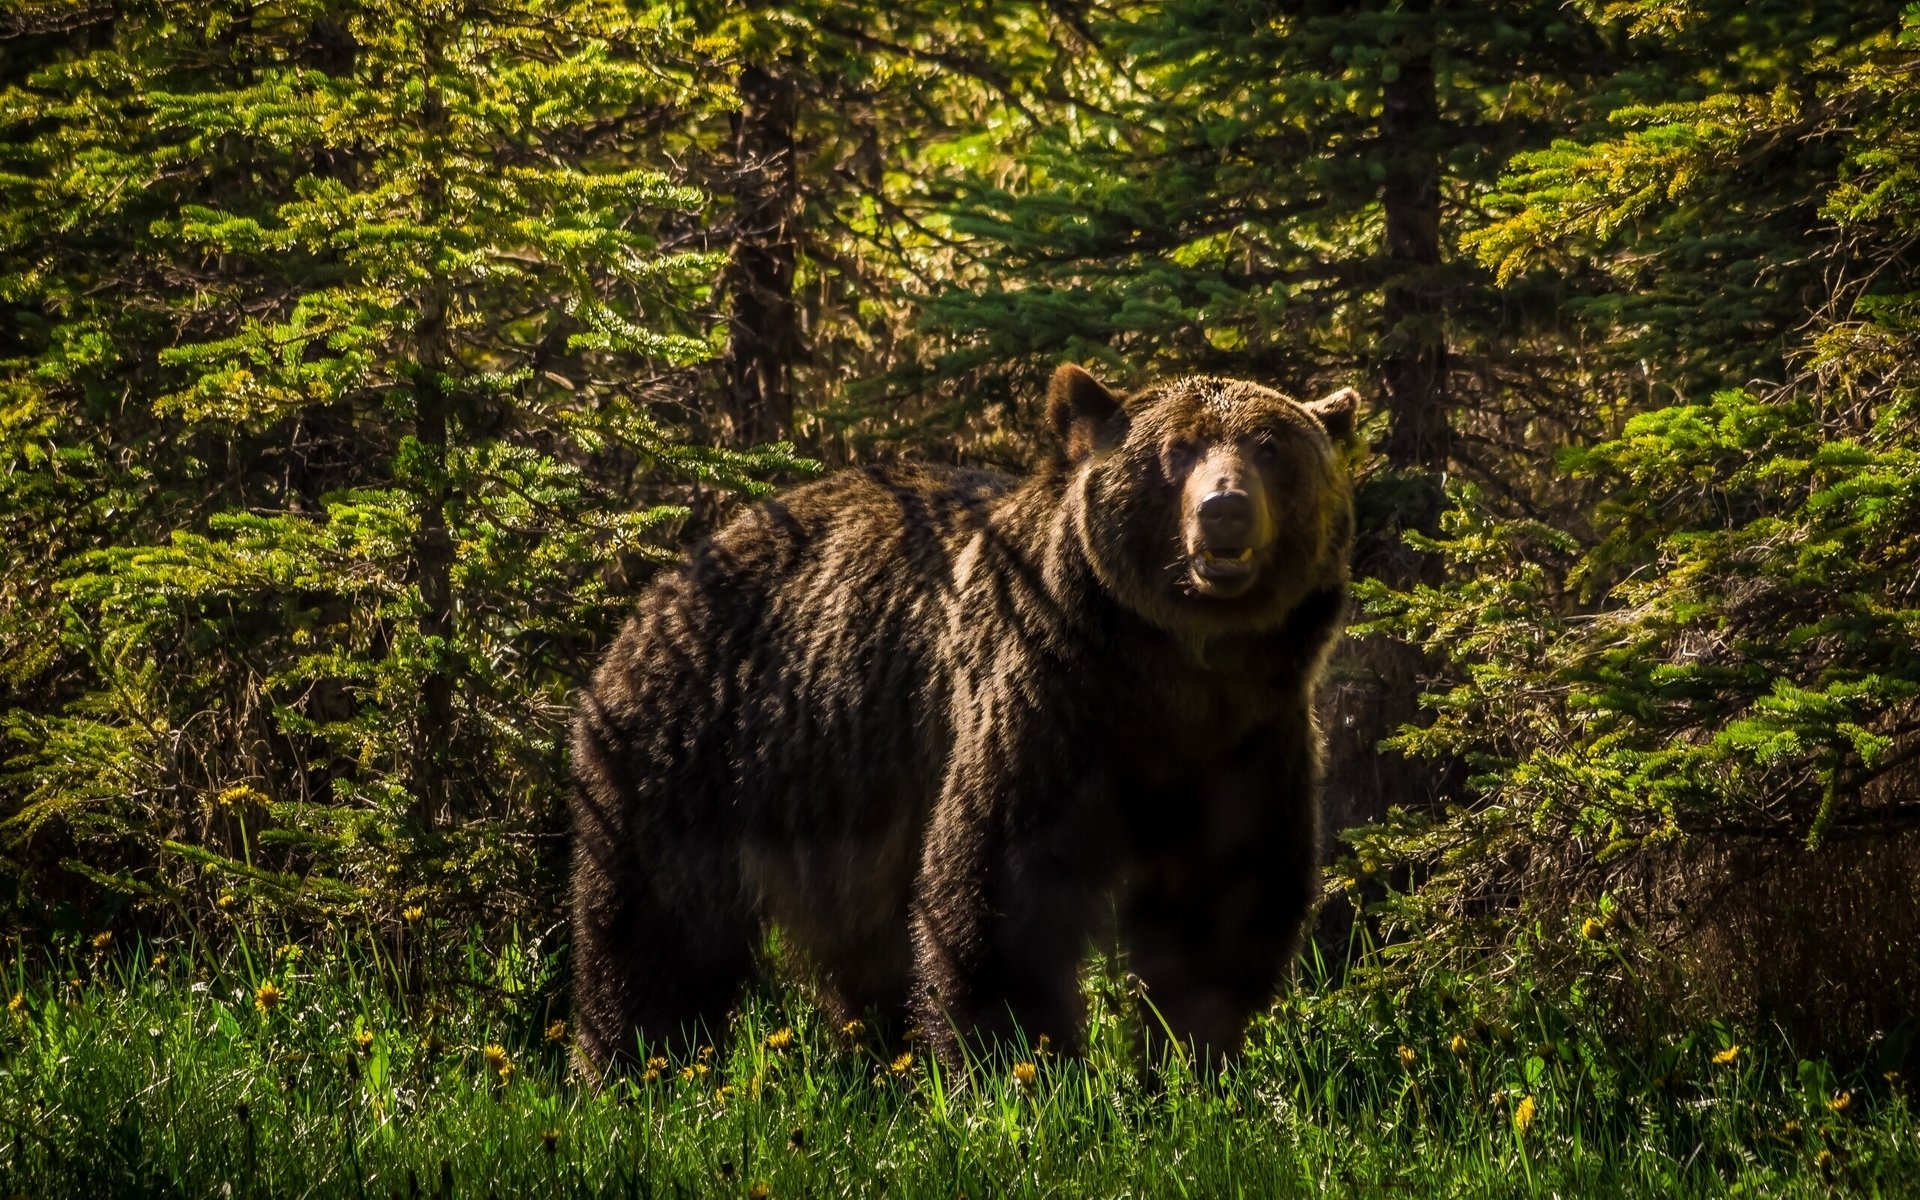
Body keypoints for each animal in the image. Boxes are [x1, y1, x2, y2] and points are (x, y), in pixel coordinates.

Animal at [569, 363, 1357, 1070]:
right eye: (1178, 449)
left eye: (1270, 448)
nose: (1224, 508)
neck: (1169, 674)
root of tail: (665, 582)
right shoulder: (1045, 707)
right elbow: (1000, 888)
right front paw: (1024, 1065)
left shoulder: (1247, 740)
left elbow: (1221, 902)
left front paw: (1191, 1061)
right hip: (691, 746)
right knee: (656, 932)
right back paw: (630, 1064)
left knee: (860, 944)